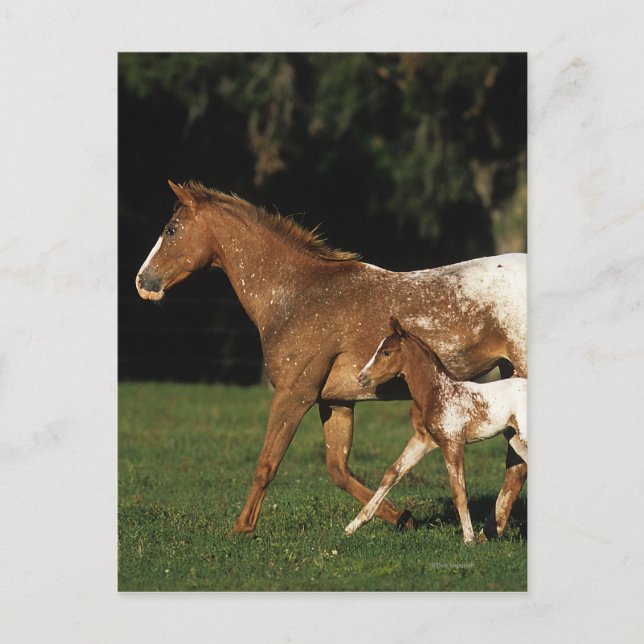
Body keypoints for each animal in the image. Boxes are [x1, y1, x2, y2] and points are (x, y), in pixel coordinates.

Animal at [344, 318, 528, 542]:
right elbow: (392, 474)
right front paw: (353, 525)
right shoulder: (422, 440)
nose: (361, 377)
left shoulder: (452, 443)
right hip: (516, 439)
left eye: (386, 352)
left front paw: (468, 539)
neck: (437, 392)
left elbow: (459, 491)